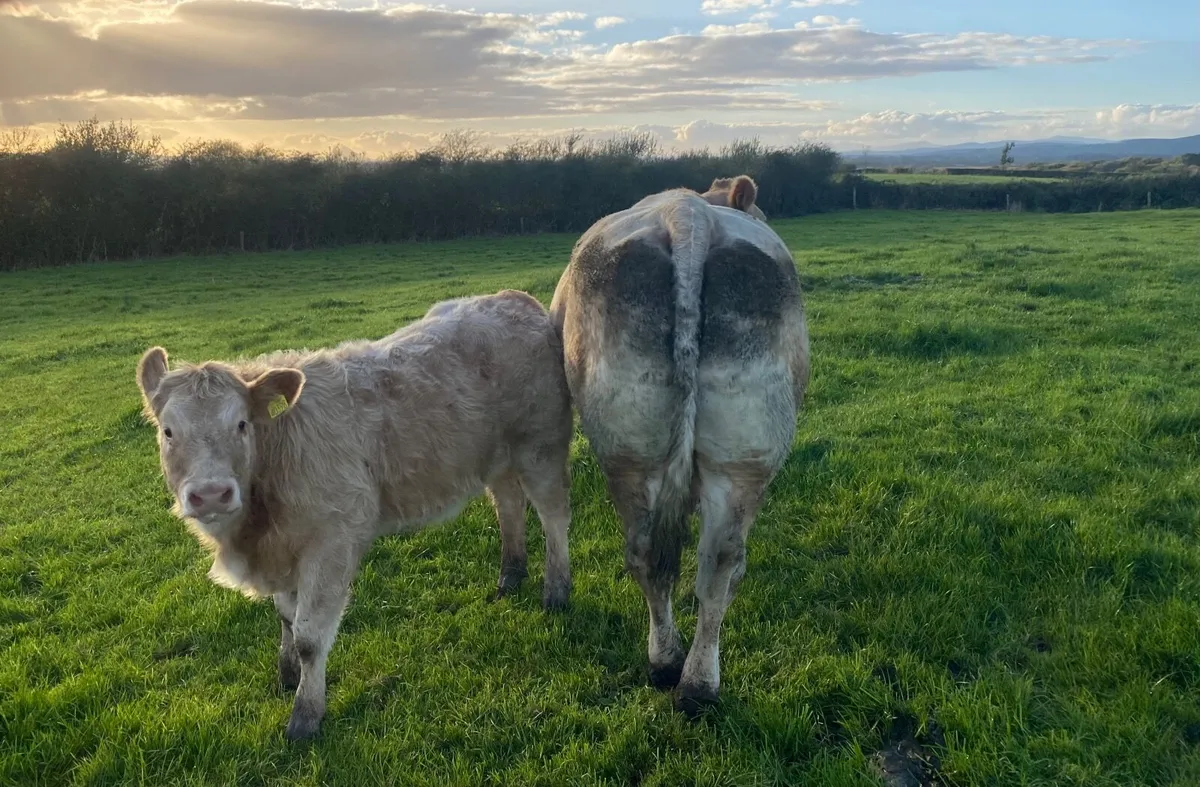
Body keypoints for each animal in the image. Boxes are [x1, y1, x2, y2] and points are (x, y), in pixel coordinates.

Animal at [134, 289, 574, 741]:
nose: (210, 494)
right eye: (168, 431)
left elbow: (309, 636)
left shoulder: (330, 541)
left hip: (540, 445)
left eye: (241, 424)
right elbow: (286, 618)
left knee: (554, 515)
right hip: (496, 457)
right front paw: (288, 674)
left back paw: (556, 590)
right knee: (509, 504)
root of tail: (511, 299)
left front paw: (306, 715)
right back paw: (511, 575)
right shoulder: (283, 548)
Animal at [548, 179, 809, 716]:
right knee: (706, 563)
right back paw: (685, 675)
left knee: (671, 558)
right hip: (729, 458)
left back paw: (679, 672)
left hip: (651, 456)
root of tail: (688, 218)